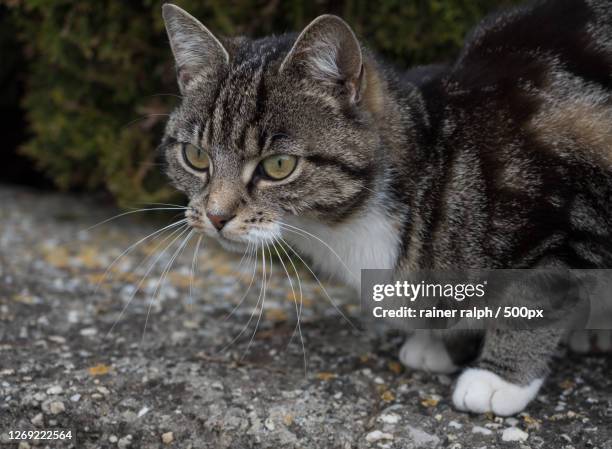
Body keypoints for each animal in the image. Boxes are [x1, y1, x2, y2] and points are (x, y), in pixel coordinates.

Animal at [159, 0, 612, 416]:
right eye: (195, 156)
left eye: (278, 165)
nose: (216, 216)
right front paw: (444, 343)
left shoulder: (564, 220)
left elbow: (535, 298)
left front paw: (499, 378)